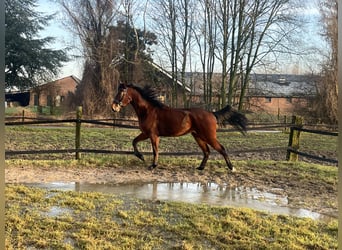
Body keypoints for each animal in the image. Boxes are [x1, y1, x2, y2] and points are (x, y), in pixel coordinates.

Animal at [113, 83, 247, 171]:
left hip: (209, 136)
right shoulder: (146, 133)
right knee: (206, 151)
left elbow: (155, 150)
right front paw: (141, 157)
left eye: (122, 92)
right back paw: (200, 167)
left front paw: (152, 165)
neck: (148, 111)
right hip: (198, 136)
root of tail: (212, 113)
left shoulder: (152, 135)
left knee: (221, 149)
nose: (114, 106)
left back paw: (231, 168)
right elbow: (134, 142)